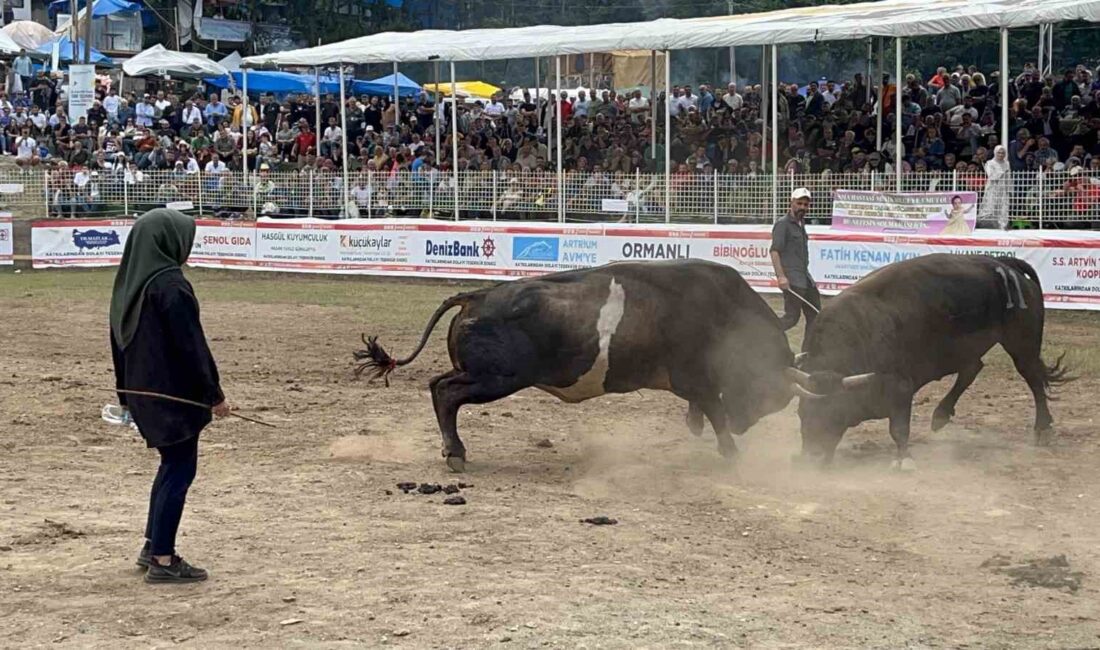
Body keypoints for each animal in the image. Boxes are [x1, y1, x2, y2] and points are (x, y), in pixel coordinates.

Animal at [356, 260, 796, 472]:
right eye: (769, 394)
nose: (743, 423)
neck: (726, 311)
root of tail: (477, 296)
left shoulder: (695, 384)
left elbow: (704, 408)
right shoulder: (698, 379)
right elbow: (714, 409)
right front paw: (731, 451)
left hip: (483, 375)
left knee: (438, 386)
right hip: (497, 378)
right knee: (446, 392)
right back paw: (456, 453)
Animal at [787, 254, 1069, 472]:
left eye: (835, 413)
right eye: (802, 413)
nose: (811, 458)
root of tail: (1004, 265)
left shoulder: (900, 388)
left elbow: (899, 429)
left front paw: (904, 459)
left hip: (1022, 346)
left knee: (1033, 378)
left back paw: (1042, 428)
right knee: (972, 368)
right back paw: (941, 414)